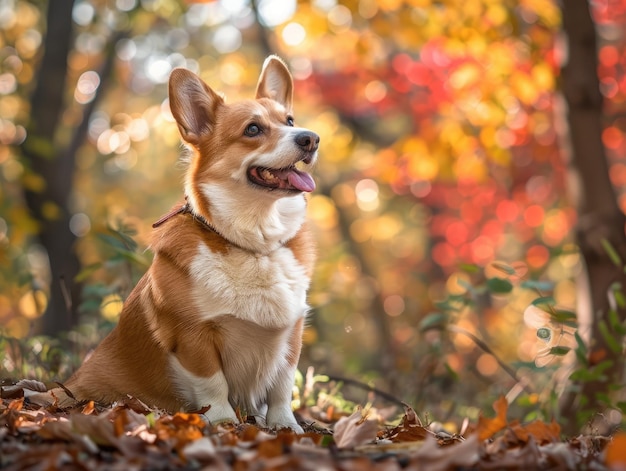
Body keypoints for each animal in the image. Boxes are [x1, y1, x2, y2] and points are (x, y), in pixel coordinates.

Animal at [45, 56, 316, 436]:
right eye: (252, 129)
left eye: (289, 121)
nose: (312, 138)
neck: (253, 244)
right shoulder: (193, 336)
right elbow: (213, 384)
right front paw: (223, 422)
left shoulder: (291, 335)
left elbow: (281, 387)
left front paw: (285, 425)